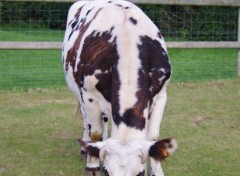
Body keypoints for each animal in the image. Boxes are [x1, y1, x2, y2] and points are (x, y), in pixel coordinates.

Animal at [62, 0, 177, 175]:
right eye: (107, 172)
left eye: (140, 173)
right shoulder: (89, 96)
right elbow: (95, 132)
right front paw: (92, 165)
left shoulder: (161, 95)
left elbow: (153, 138)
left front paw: (157, 171)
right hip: (79, 94)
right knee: (88, 123)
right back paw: (86, 150)